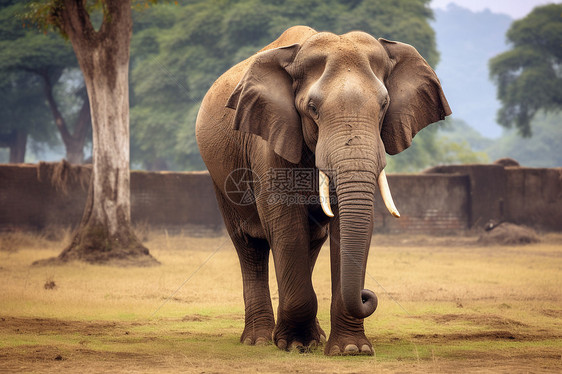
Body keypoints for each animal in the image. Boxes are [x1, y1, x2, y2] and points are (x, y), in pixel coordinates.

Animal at [195, 24, 448, 356]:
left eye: (383, 106)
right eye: (312, 109)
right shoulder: (269, 137)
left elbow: (347, 225)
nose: (368, 295)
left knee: (312, 239)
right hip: (220, 175)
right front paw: (294, 345)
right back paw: (259, 339)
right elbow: (286, 225)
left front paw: (351, 350)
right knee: (249, 244)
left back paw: (311, 337)